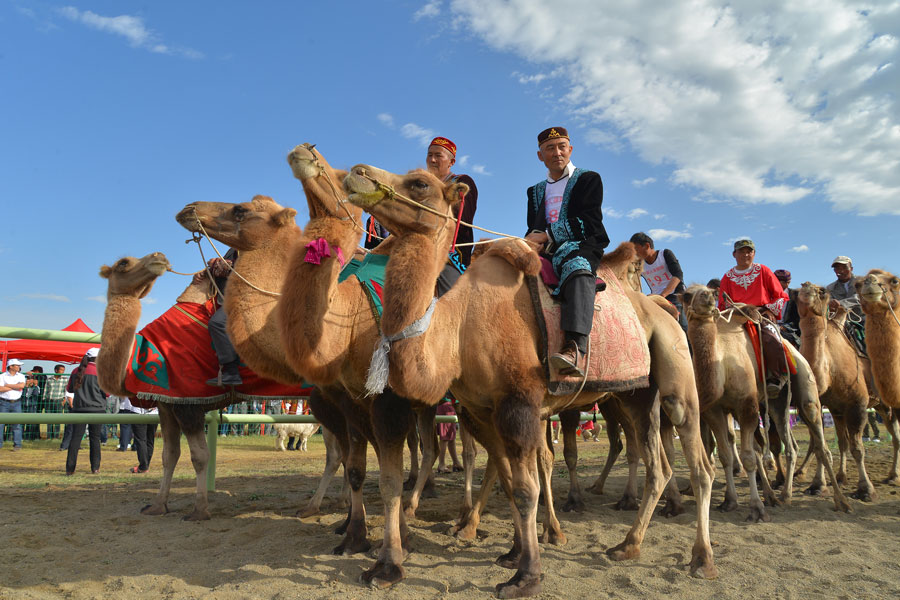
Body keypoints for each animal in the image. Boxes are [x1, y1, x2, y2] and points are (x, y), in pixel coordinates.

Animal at [344, 165, 716, 600]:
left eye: (420, 182)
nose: (358, 173)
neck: (461, 322)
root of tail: (661, 308)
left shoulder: (518, 401)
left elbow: (526, 489)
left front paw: (526, 575)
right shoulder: (482, 409)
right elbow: (508, 481)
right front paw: (510, 554)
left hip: (676, 380)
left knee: (699, 463)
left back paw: (702, 560)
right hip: (636, 395)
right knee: (658, 465)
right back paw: (628, 545)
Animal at [800, 284, 876, 500]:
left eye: (822, 291)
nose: (806, 289)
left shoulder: (858, 404)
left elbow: (857, 448)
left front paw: (865, 489)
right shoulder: (825, 405)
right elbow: (821, 446)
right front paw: (818, 485)